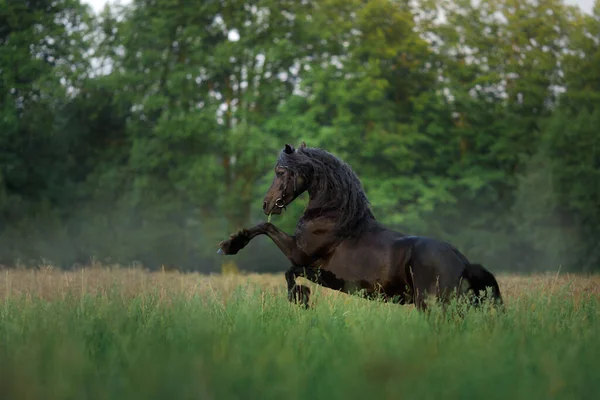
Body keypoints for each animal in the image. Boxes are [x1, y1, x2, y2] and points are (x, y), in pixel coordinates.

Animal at [218, 144, 504, 312]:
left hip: (434, 305)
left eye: (280, 171)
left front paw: (230, 245)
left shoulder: (299, 253)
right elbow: (290, 271)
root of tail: (463, 263)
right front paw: (302, 297)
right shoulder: (316, 270)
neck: (334, 217)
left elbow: (265, 231)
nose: (267, 204)